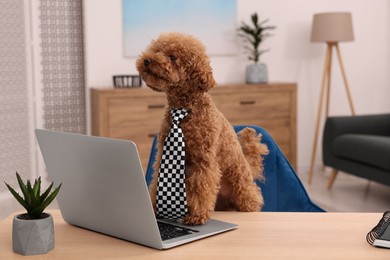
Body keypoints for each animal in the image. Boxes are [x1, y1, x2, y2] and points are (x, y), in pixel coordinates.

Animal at [136, 31, 268, 224]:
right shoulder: (163, 155)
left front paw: (196, 215)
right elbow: (155, 185)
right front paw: (153, 209)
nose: (146, 60)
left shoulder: (203, 160)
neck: (185, 109)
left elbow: (200, 188)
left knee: (253, 199)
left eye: (172, 57)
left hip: (241, 186)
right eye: (156, 50)